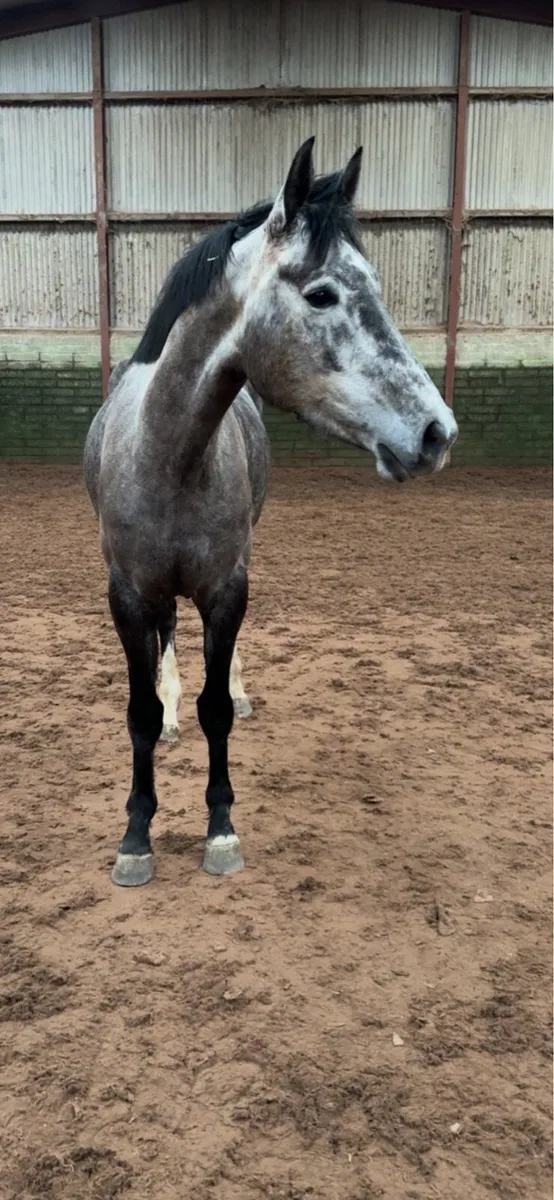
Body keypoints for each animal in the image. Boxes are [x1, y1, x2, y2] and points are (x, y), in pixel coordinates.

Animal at [84, 137, 458, 889]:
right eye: (322, 293)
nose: (437, 433)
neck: (168, 456)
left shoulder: (228, 590)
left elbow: (217, 710)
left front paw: (221, 831)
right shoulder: (128, 595)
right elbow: (139, 713)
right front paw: (136, 837)